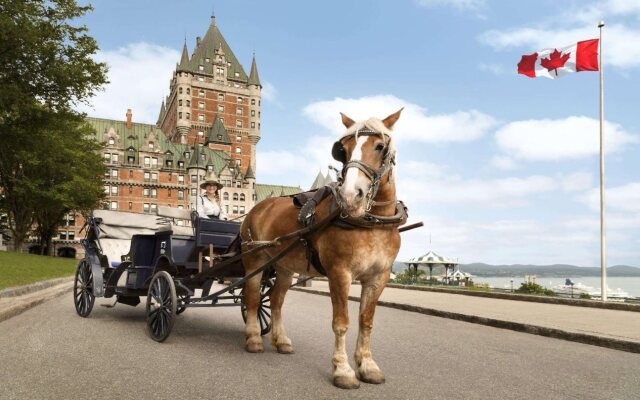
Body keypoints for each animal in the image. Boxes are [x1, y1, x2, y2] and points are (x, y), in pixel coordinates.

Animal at [240, 108, 404, 388]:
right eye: (343, 149)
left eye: (380, 146)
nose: (351, 195)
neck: (372, 223)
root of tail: (258, 207)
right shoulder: (339, 273)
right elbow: (341, 323)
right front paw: (343, 370)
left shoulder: (378, 277)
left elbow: (366, 321)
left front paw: (367, 365)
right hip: (254, 260)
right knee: (252, 297)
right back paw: (253, 338)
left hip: (284, 266)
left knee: (276, 299)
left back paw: (281, 340)